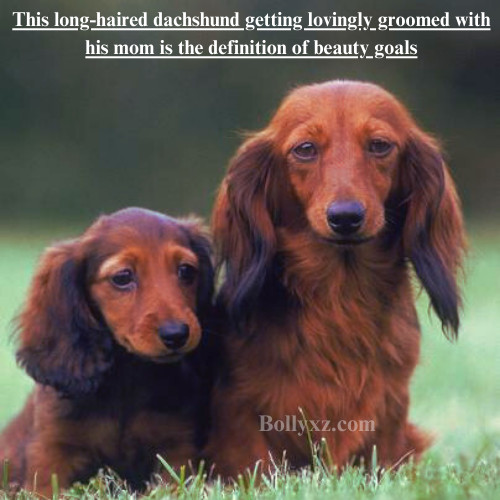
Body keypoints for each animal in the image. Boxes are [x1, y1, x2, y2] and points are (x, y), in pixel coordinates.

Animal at [0, 208, 213, 496]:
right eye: (122, 277)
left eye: (186, 271)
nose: (177, 334)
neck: (126, 381)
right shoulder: (51, 450)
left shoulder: (176, 449)